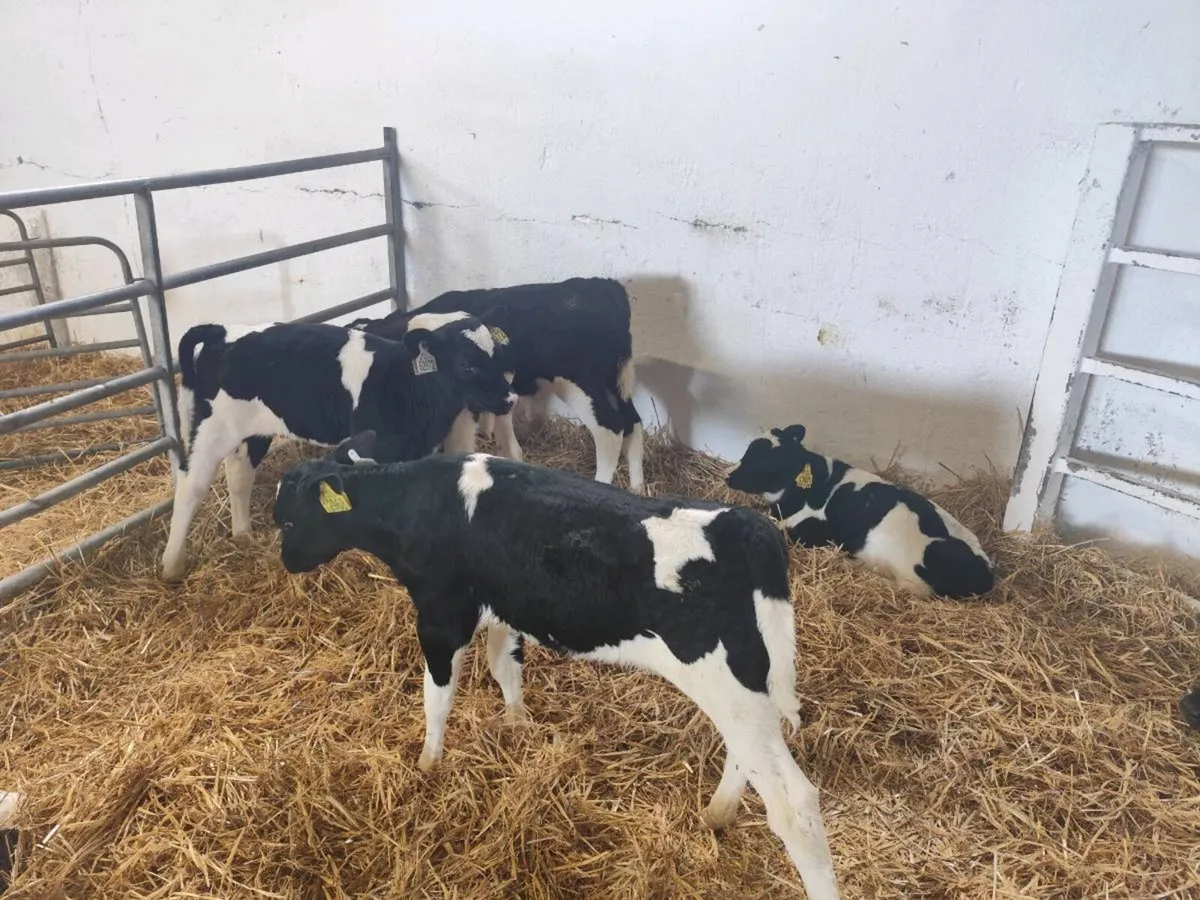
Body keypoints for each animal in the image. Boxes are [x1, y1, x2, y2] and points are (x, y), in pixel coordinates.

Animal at [160, 317, 517, 582]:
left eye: (497, 356)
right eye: (467, 364)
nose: (511, 398)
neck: (406, 383)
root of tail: (221, 330)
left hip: (254, 431)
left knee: (239, 473)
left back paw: (243, 534)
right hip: (212, 428)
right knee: (191, 485)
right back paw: (172, 564)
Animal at [270, 430, 841, 900]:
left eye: (291, 519)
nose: (287, 563)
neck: (417, 503)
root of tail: (748, 526)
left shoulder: (439, 615)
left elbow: (438, 697)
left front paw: (428, 765)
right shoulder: (503, 606)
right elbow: (505, 667)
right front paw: (517, 724)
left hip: (725, 680)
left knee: (796, 805)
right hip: (746, 682)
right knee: (748, 756)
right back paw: (717, 814)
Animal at [348, 277, 646, 493]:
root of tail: (606, 287)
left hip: (581, 384)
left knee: (610, 430)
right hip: (616, 383)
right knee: (633, 422)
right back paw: (637, 486)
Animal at [725, 424, 995, 600]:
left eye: (763, 461)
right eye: (748, 450)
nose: (727, 475)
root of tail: (986, 571)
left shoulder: (811, 531)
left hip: (910, 570)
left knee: (909, 588)